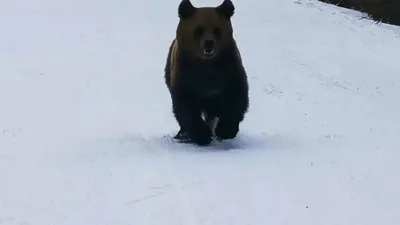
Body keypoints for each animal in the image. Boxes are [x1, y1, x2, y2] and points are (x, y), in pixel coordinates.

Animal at [164, 0, 248, 146]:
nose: (209, 43)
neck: (207, 64)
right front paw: (202, 135)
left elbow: (236, 98)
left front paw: (225, 131)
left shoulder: (229, 72)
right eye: (199, 29)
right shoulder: (186, 77)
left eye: (217, 29)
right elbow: (185, 106)